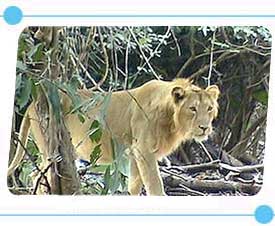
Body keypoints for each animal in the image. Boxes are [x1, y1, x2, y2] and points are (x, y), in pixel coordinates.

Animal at [7, 78, 221, 195]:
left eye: (209, 108)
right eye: (193, 109)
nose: (204, 127)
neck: (171, 119)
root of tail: (34, 101)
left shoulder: (134, 154)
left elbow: (134, 185)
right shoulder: (143, 151)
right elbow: (155, 185)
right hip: (50, 146)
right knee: (37, 175)